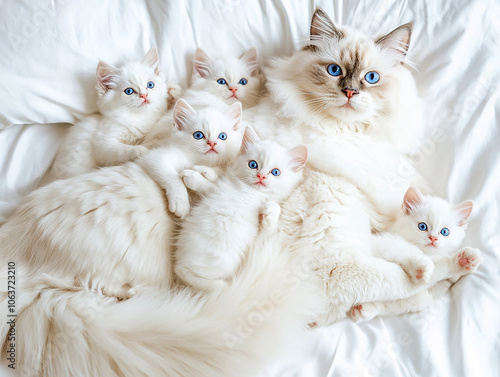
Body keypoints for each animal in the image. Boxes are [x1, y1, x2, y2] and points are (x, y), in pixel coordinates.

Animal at [50, 47, 180, 180]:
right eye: (129, 91)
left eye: (150, 85)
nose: (144, 95)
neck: (140, 117)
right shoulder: (104, 143)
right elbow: (127, 150)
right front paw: (143, 150)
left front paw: (172, 91)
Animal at [176, 126, 308, 290]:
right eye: (253, 165)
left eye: (275, 172)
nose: (261, 176)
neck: (252, 191)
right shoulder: (216, 188)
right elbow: (207, 184)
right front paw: (195, 174)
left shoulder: (263, 235)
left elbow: (272, 218)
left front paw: (271, 209)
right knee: (183, 271)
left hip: (223, 261)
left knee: (192, 276)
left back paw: (223, 285)